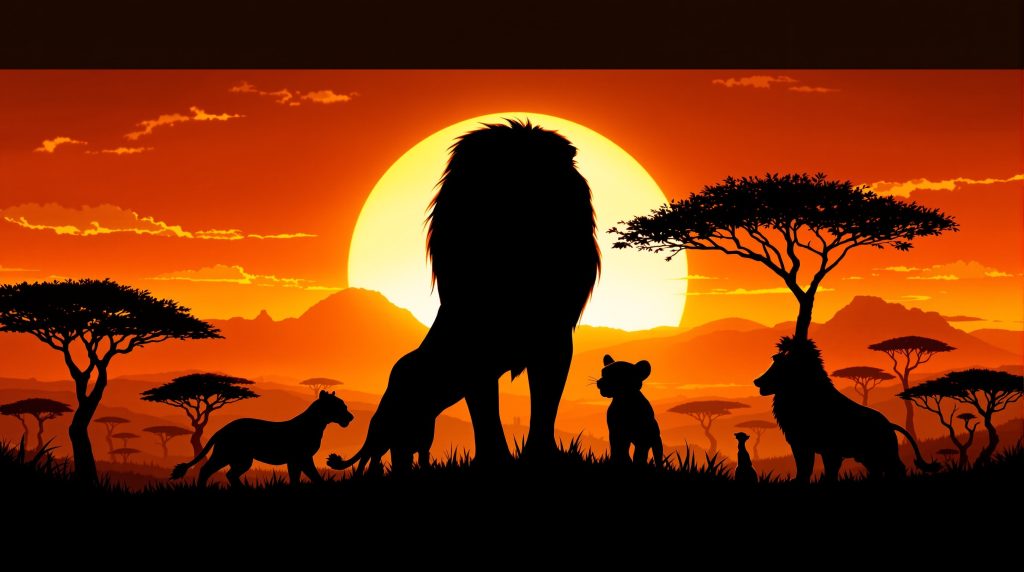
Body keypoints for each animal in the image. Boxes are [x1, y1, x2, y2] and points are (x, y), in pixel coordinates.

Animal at [170, 391, 353, 487]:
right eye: (341, 406)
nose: (351, 417)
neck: (318, 423)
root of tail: (223, 428)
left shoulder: (295, 460)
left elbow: (296, 477)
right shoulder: (303, 457)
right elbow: (314, 475)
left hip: (241, 460)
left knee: (230, 474)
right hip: (226, 455)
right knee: (206, 469)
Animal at [330, 119, 600, 468]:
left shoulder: (553, 338)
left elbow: (545, 403)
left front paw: (541, 457)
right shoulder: (474, 346)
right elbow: (485, 409)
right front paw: (494, 461)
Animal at [754, 337, 939, 482]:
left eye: (780, 366)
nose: (757, 381)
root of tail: (889, 424)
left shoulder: (825, 448)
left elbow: (823, 471)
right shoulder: (803, 445)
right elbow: (806, 470)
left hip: (882, 453)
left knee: (897, 468)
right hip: (869, 457)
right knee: (881, 471)